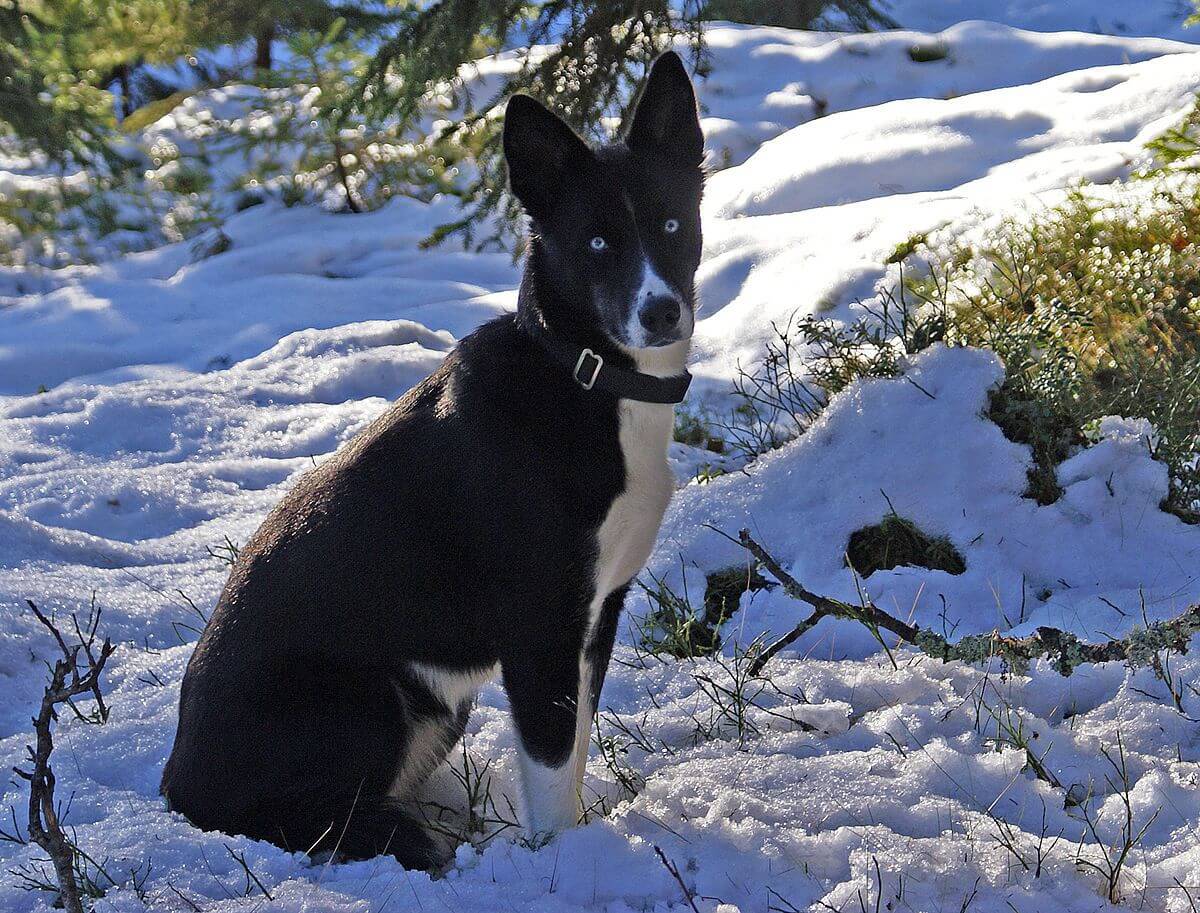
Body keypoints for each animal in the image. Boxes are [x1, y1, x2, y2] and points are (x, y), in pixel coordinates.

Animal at [159, 51, 700, 868]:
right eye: (598, 244)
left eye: (671, 223)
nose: (662, 311)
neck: (584, 379)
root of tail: (175, 789)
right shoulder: (540, 625)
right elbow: (550, 762)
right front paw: (559, 864)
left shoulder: (596, 613)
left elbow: (573, 749)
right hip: (367, 697)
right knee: (305, 820)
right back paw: (408, 842)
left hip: (436, 705)